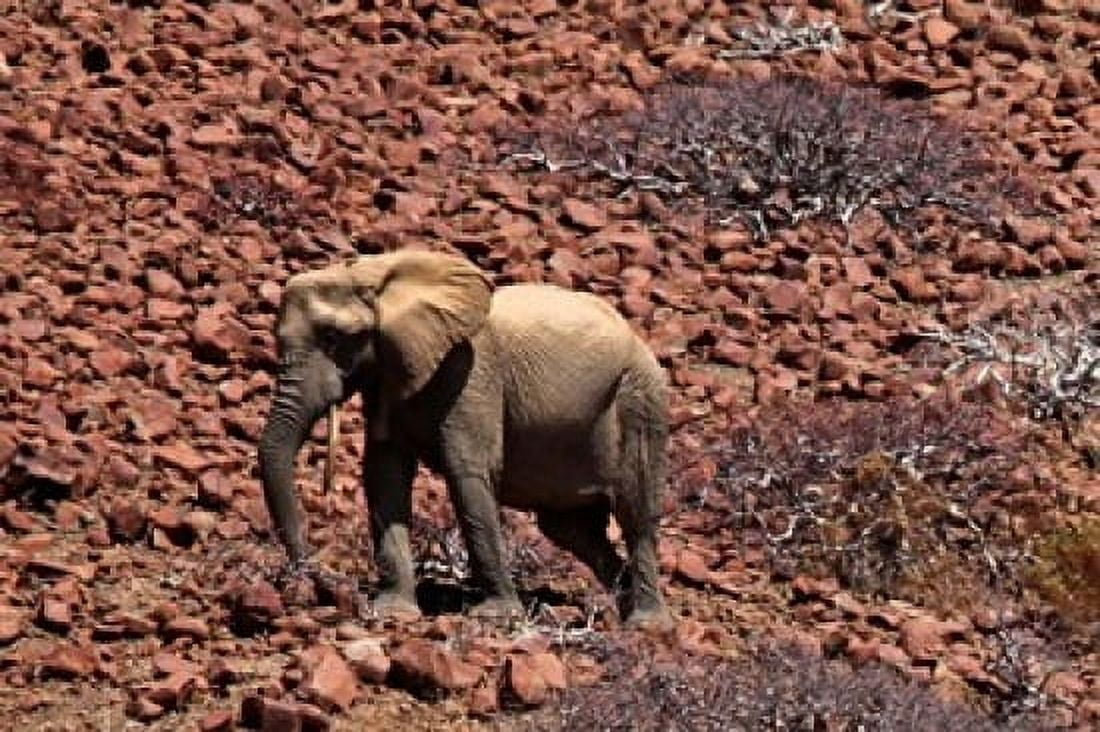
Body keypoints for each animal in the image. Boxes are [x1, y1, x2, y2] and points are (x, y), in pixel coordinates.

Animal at [257, 249, 671, 627]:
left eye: (333, 337)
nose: (319, 578)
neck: (378, 274)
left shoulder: (470, 371)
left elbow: (467, 473)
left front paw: (497, 616)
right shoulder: (388, 377)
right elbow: (385, 474)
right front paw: (394, 612)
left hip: (639, 400)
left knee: (635, 515)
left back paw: (646, 625)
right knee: (571, 529)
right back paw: (620, 612)